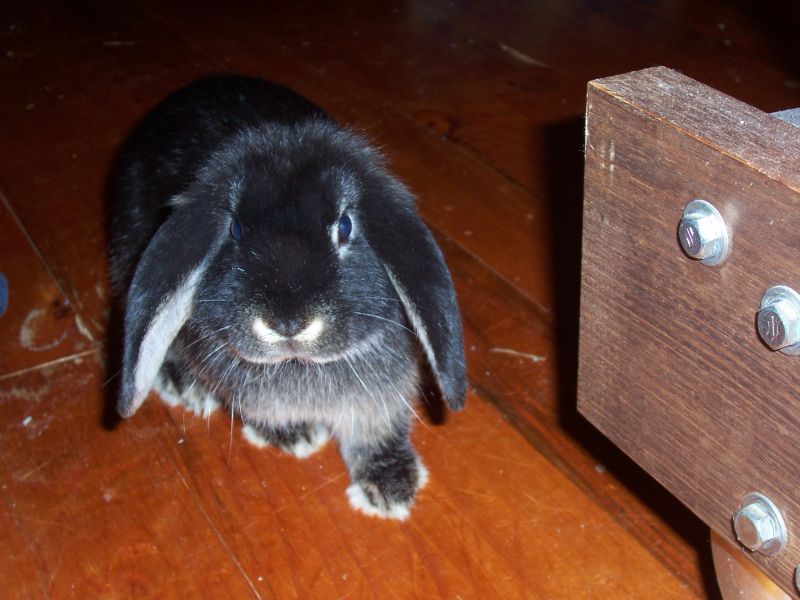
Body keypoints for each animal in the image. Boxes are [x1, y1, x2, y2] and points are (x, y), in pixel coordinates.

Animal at [107, 74, 467, 520]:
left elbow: (376, 430)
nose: (288, 323)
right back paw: (184, 384)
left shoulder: (380, 398)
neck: (299, 364)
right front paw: (295, 436)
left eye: (345, 226)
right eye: (235, 230)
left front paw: (392, 487)